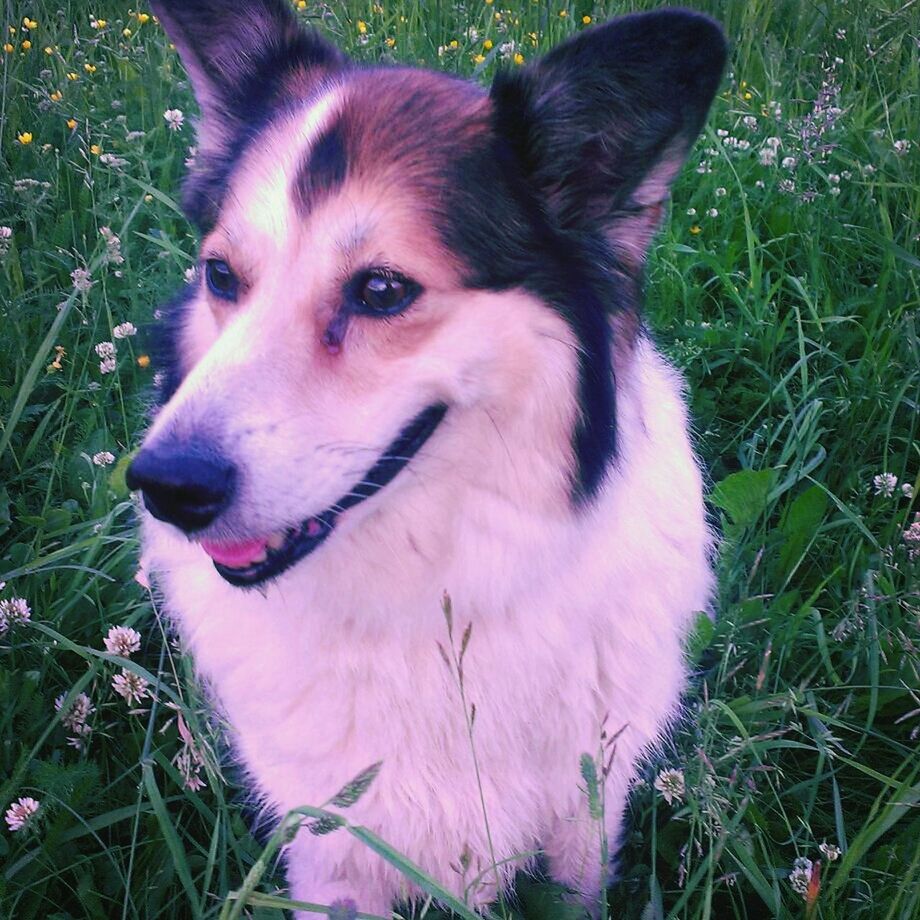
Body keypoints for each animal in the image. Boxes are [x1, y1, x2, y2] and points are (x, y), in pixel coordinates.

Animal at [127, 3, 724, 912]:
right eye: (222, 275)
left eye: (381, 290)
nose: (166, 488)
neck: (431, 599)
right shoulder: (329, 851)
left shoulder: (585, 815)